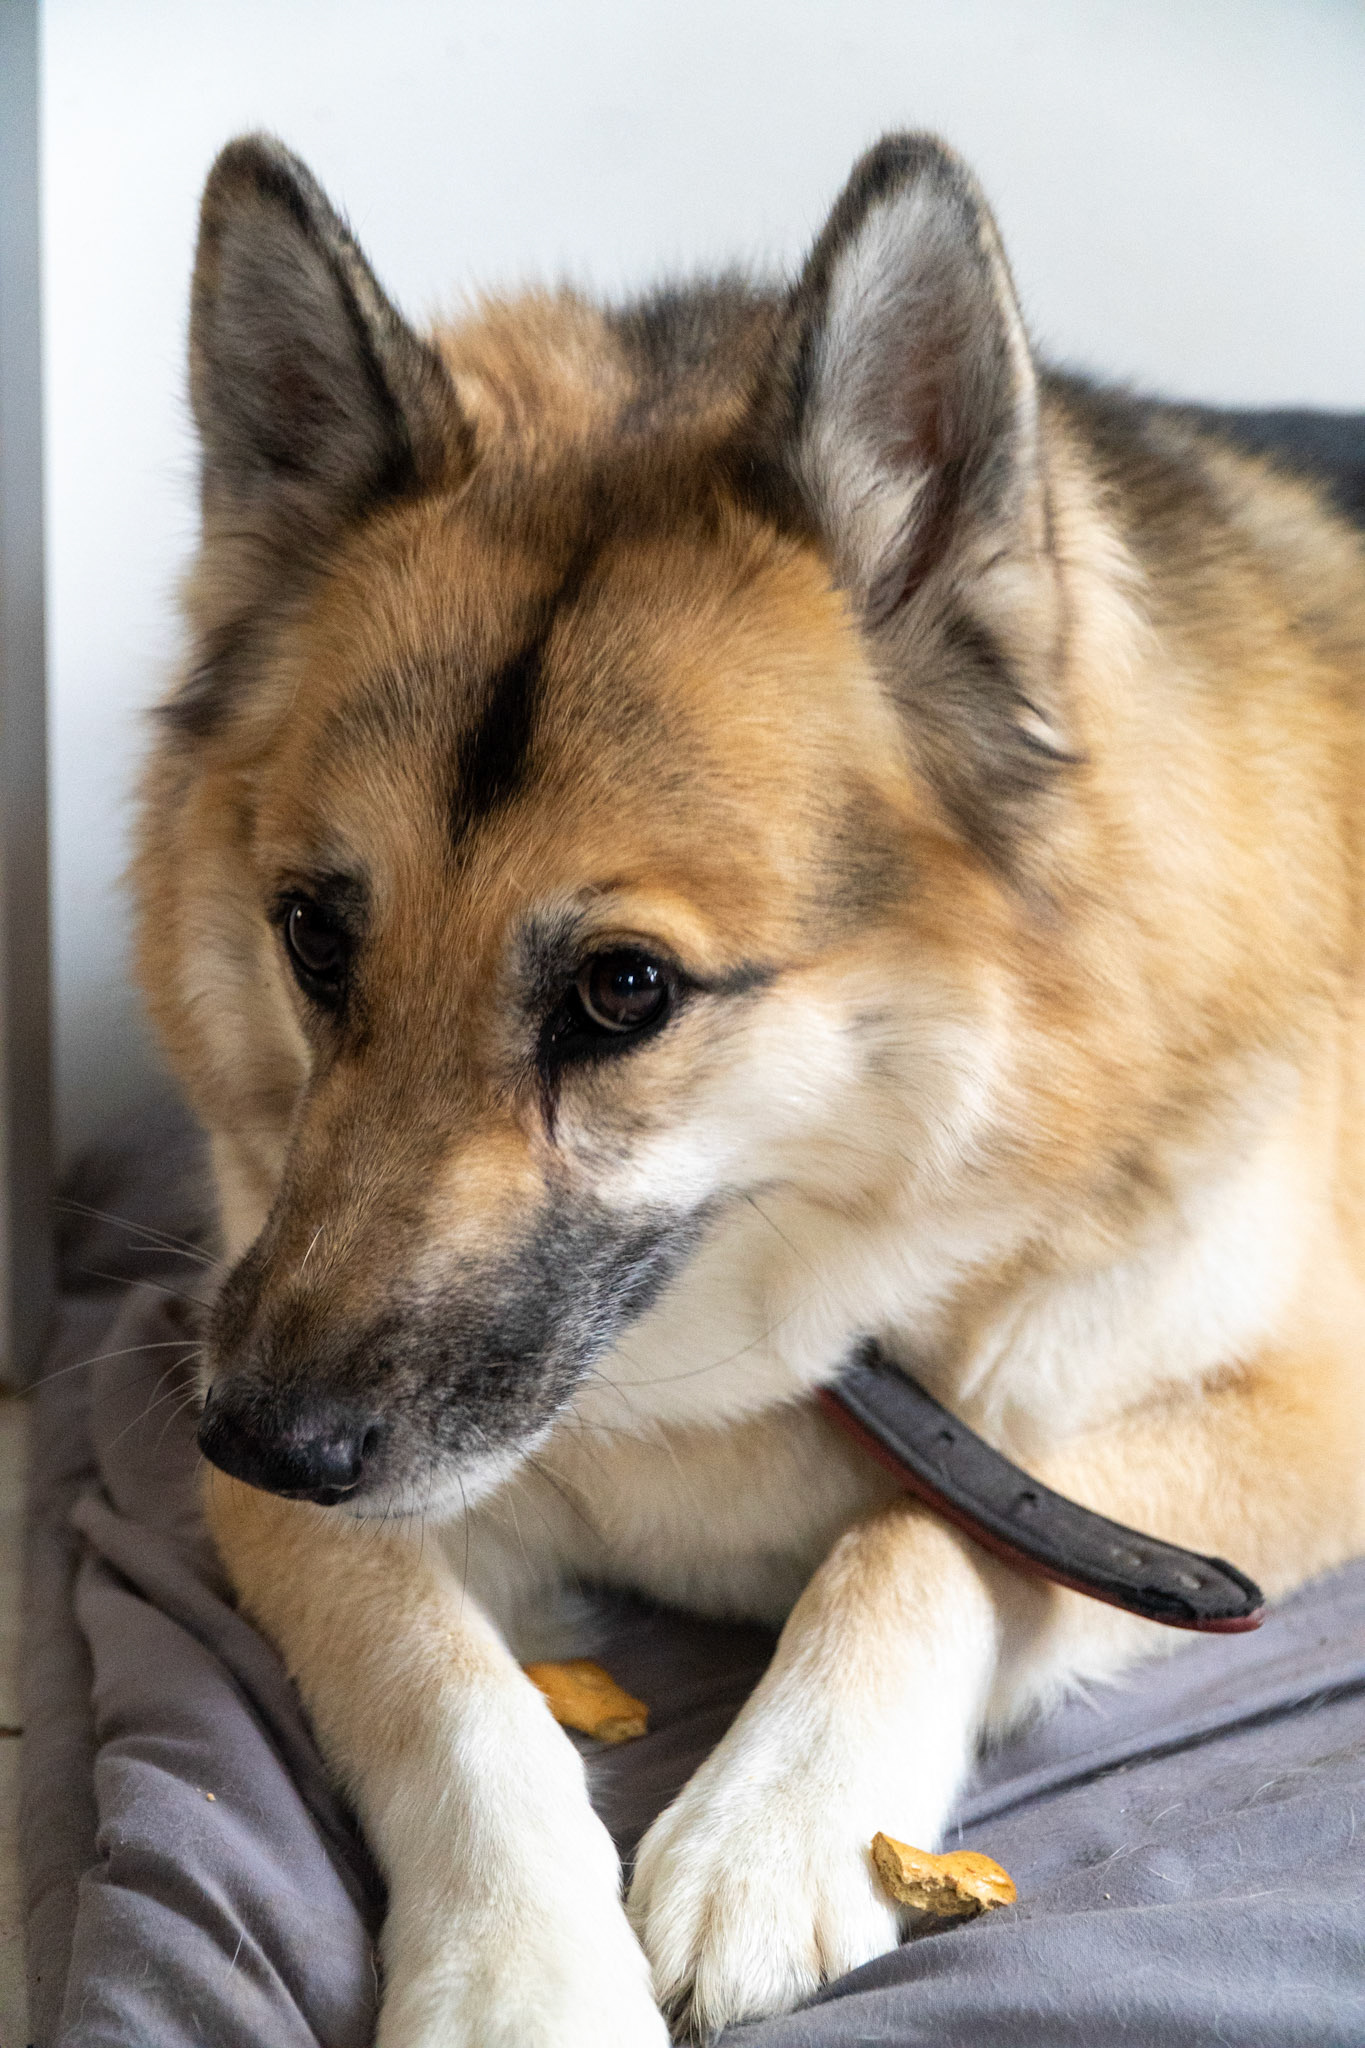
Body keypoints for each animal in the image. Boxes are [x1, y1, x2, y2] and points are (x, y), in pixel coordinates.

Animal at [132, 130, 1365, 2045]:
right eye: (315, 938)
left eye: (623, 990)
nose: (260, 1431)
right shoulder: (302, 1502)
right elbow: (433, 1667)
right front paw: (516, 1967)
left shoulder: (1294, 1420)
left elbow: (933, 1525)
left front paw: (777, 1825)